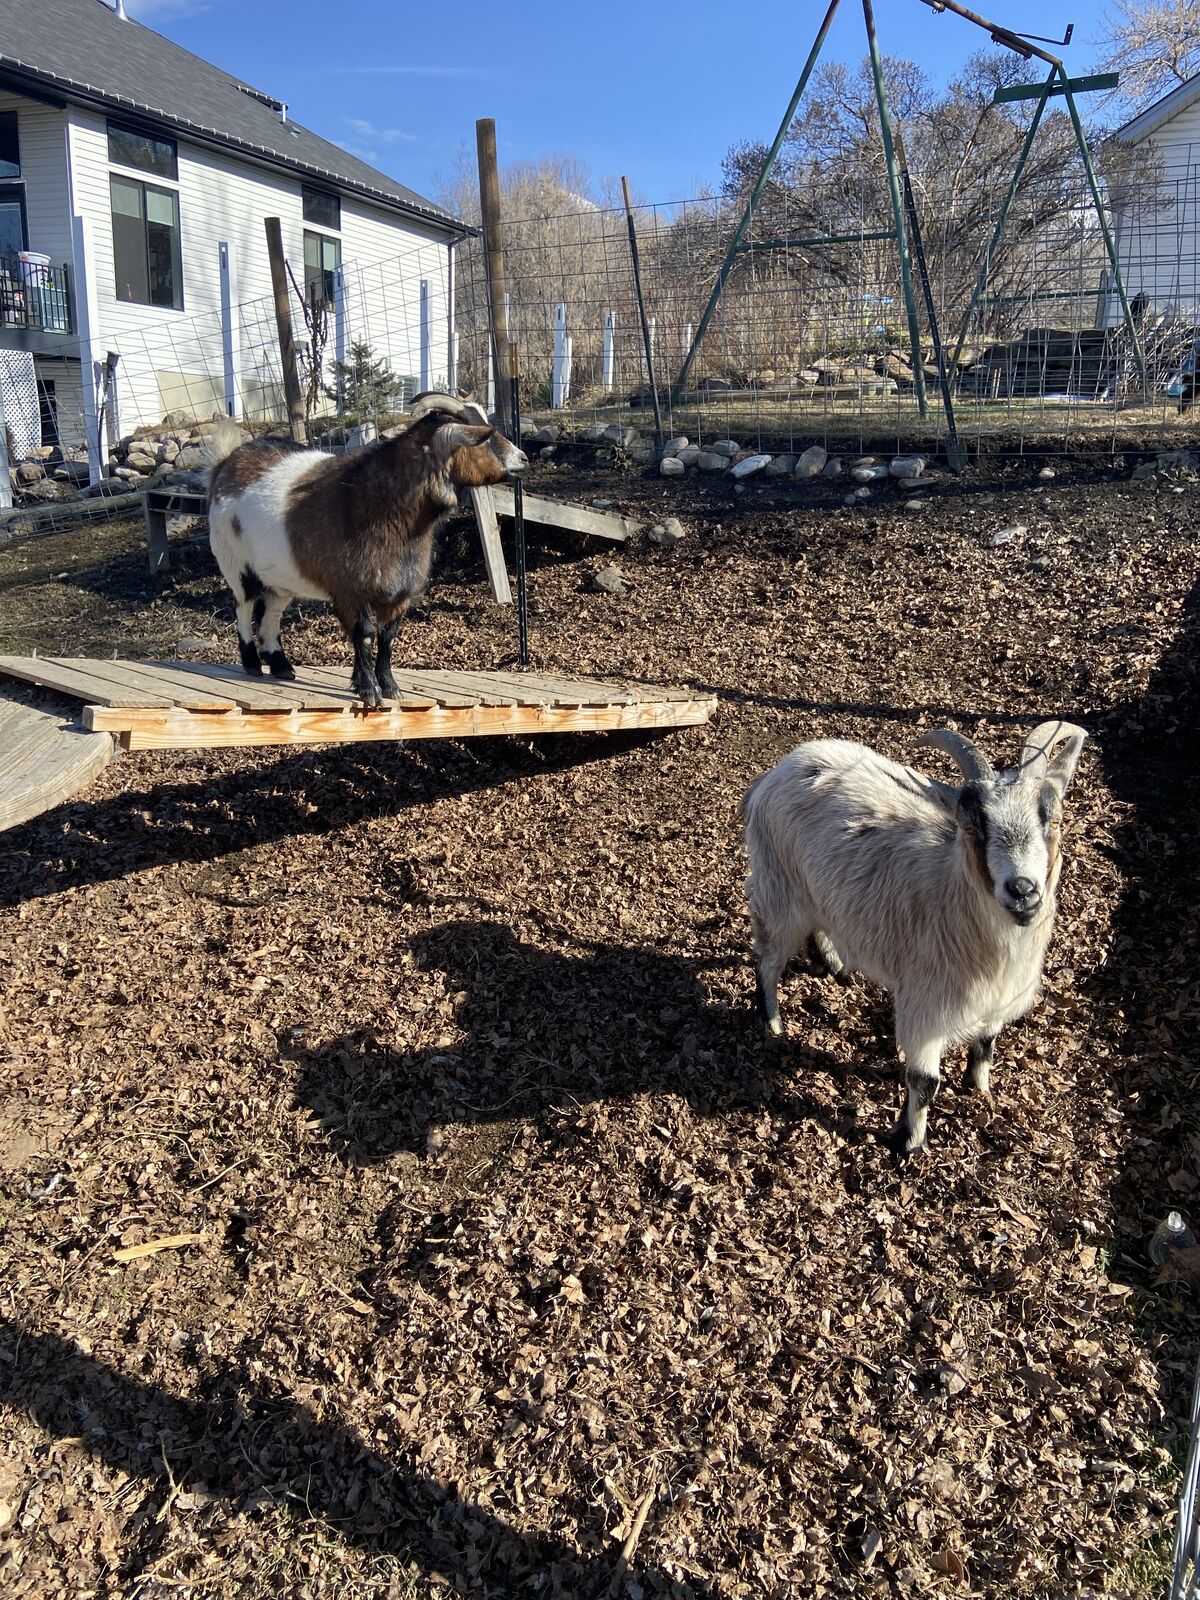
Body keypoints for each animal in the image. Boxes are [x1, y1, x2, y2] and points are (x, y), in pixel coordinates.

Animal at [206, 394, 528, 706]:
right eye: (484, 437)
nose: (523, 458)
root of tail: (224, 464)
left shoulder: (400, 593)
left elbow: (387, 636)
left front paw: (388, 686)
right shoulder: (350, 590)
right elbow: (364, 634)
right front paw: (369, 690)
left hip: (280, 580)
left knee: (271, 613)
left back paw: (281, 666)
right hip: (237, 565)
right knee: (243, 606)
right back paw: (251, 663)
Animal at [742, 721, 1087, 1154]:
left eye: (1054, 821)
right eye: (972, 825)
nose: (1022, 890)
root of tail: (781, 769)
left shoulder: (995, 1003)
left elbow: (985, 1046)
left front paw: (980, 1090)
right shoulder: (925, 1007)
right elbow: (925, 1083)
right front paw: (909, 1142)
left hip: (813, 887)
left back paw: (832, 964)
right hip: (778, 887)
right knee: (768, 957)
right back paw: (772, 1021)